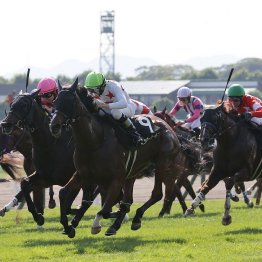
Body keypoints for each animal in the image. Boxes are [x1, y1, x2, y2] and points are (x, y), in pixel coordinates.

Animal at [49, 78, 186, 237]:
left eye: (70, 101)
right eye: (55, 101)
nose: (54, 126)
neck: (94, 141)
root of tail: (168, 127)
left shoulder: (115, 179)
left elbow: (105, 209)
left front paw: (95, 225)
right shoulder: (83, 174)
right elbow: (64, 194)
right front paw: (68, 226)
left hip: (161, 164)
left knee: (156, 194)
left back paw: (135, 219)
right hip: (133, 172)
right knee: (128, 201)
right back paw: (116, 225)